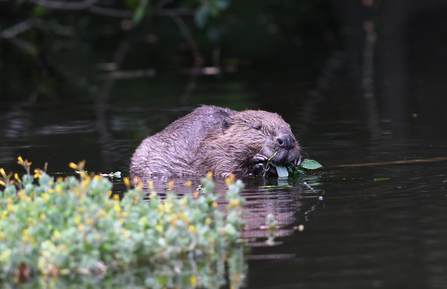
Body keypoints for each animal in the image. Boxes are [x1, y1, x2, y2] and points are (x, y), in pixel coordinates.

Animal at [130, 104, 304, 179]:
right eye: (256, 127)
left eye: (289, 126)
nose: (286, 140)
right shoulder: (212, 154)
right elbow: (225, 172)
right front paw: (258, 163)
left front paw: (299, 160)